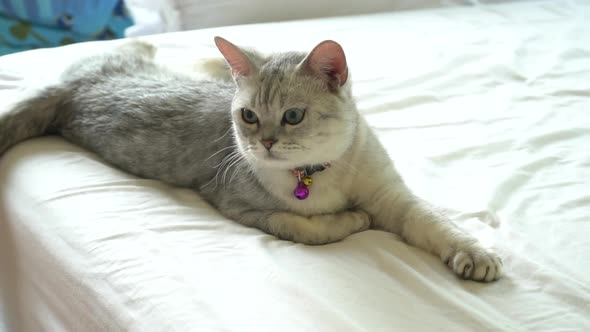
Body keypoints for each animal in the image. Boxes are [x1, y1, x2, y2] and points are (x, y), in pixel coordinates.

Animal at [0, 37, 504, 282]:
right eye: (248, 116)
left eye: (293, 116)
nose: (264, 142)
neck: (323, 173)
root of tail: (66, 90)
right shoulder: (237, 203)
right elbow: (308, 228)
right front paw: (351, 219)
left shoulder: (393, 196)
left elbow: (435, 223)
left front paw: (476, 253)